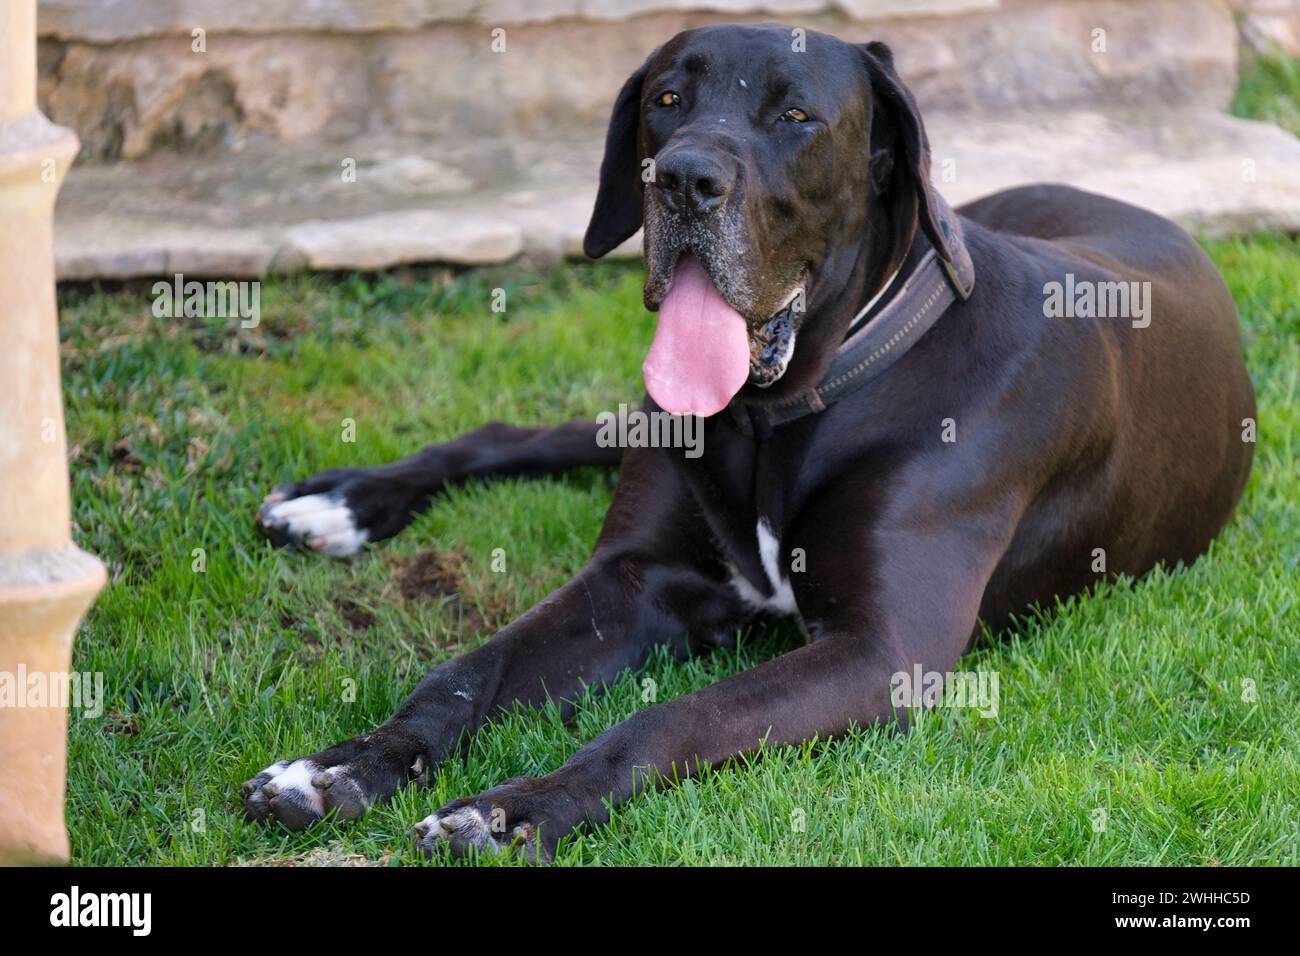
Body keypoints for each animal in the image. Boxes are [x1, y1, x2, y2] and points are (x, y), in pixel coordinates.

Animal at [239, 24, 1253, 858]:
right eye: (666, 101)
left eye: (797, 115)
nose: (685, 180)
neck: (793, 408)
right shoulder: (633, 580)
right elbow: (469, 671)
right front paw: (341, 766)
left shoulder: (882, 653)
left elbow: (669, 719)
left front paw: (519, 807)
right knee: (521, 433)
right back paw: (344, 501)